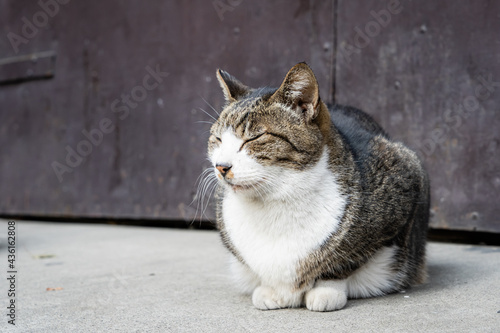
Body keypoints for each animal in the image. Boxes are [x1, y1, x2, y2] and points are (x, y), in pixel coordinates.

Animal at [207, 62, 430, 312]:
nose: (221, 166)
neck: (277, 199)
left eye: (254, 138)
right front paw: (274, 290)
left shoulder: (406, 172)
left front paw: (326, 290)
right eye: (217, 139)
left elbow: (345, 258)